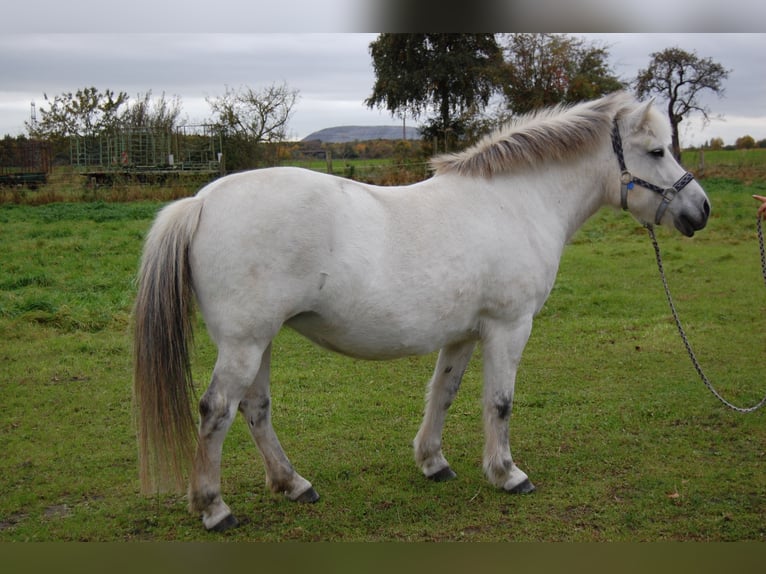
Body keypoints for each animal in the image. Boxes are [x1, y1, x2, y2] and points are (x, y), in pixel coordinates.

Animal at [134, 92, 712, 532]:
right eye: (656, 150)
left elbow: (445, 393)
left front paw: (433, 462)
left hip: (260, 342)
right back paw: (215, 509)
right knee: (216, 412)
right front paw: (507, 473)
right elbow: (500, 402)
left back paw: (293, 484)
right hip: (245, 343)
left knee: (255, 410)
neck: (516, 203)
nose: (701, 209)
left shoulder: (463, 332)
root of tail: (201, 202)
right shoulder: (509, 326)